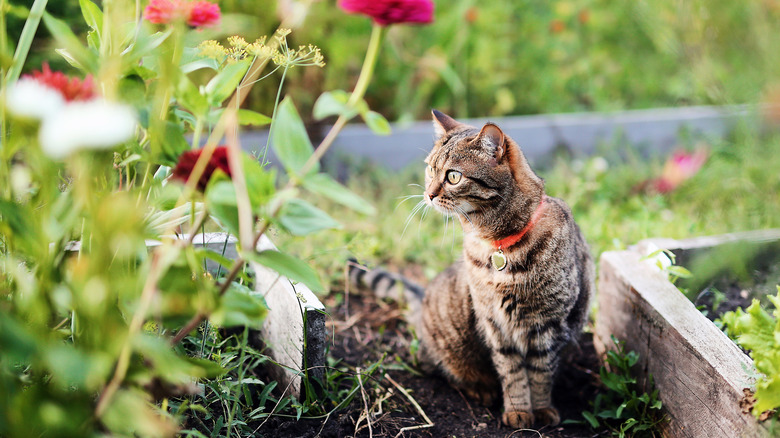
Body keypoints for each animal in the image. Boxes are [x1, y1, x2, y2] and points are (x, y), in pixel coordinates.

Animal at [350, 109, 596, 428]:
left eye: (453, 176)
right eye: (430, 169)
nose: (428, 194)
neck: (500, 246)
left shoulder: (548, 325)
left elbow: (541, 373)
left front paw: (541, 410)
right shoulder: (495, 324)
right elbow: (512, 373)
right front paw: (518, 411)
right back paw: (481, 388)